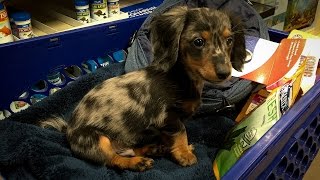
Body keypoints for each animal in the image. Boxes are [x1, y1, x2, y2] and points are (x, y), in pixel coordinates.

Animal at [40, 5, 246, 172]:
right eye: (198, 42)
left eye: (229, 40)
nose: (225, 73)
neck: (181, 78)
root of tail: (68, 129)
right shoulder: (167, 117)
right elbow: (181, 132)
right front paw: (184, 153)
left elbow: (170, 136)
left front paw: (179, 148)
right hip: (97, 140)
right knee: (113, 159)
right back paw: (137, 162)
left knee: (131, 149)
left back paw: (153, 149)